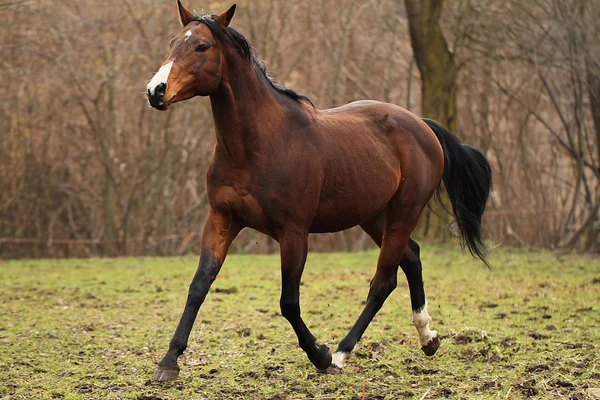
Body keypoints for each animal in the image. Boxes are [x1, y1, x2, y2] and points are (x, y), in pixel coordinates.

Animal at [146, 0, 492, 382]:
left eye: (202, 46)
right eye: (173, 42)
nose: (156, 91)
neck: (257, 145)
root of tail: (423, 125)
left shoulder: (294, 233)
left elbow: (288, 302)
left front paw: (320, 355)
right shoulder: (222, 218)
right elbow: (198, 286)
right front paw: (169, 362)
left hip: (404, 213)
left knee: (382, 281)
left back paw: (342, 352)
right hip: (374, 218)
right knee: (411, 258)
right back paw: (428, 338)